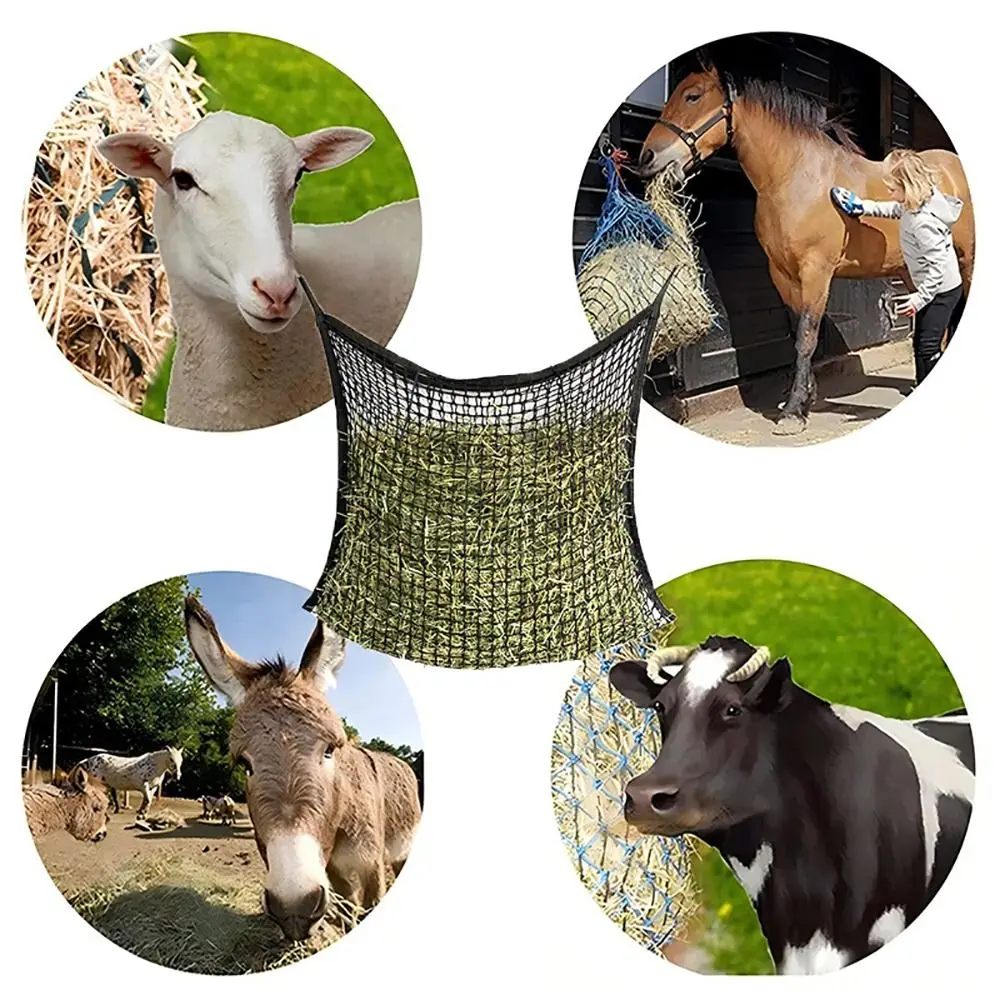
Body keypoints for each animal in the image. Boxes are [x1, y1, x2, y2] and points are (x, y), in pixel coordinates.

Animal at [636, 63, 975, 434]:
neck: (795, 176)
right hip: (913, 270)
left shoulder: (816, 272)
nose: (646, 157)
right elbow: (796, 334)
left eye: (693, 96)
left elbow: (807, 336)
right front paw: (804, 397)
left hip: (965, 261)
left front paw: (793, 412)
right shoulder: (782, 274)